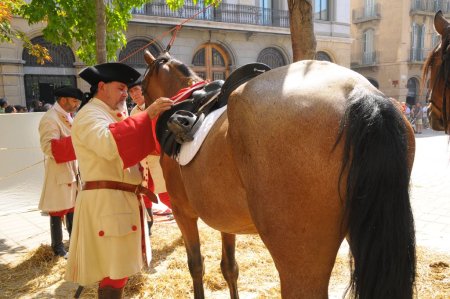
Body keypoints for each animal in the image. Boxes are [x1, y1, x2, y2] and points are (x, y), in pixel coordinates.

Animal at [142, 50, 416, 298]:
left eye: (142, 89)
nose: (143, 108)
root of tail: (358, 92)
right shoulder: (225, 219)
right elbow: (229, 267)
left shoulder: (182, 212)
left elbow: (196, 266)